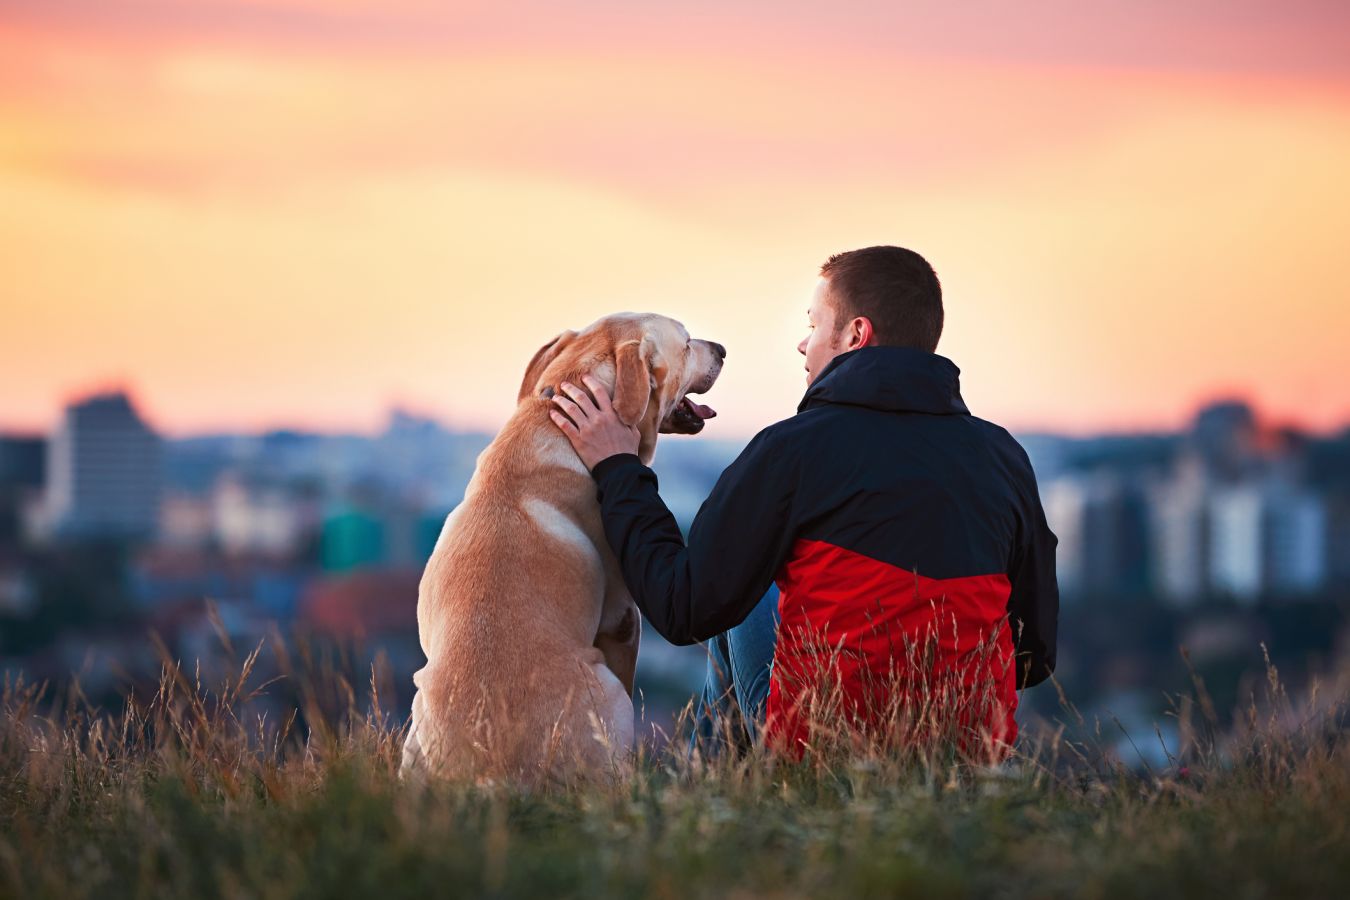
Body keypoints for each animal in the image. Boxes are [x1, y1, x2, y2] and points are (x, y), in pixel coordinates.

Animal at [402, 313, 729, 782]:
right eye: (686, 344)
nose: (722, 349)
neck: (554, 419)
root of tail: (491, 772)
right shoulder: (623, 619)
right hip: (607, 693)